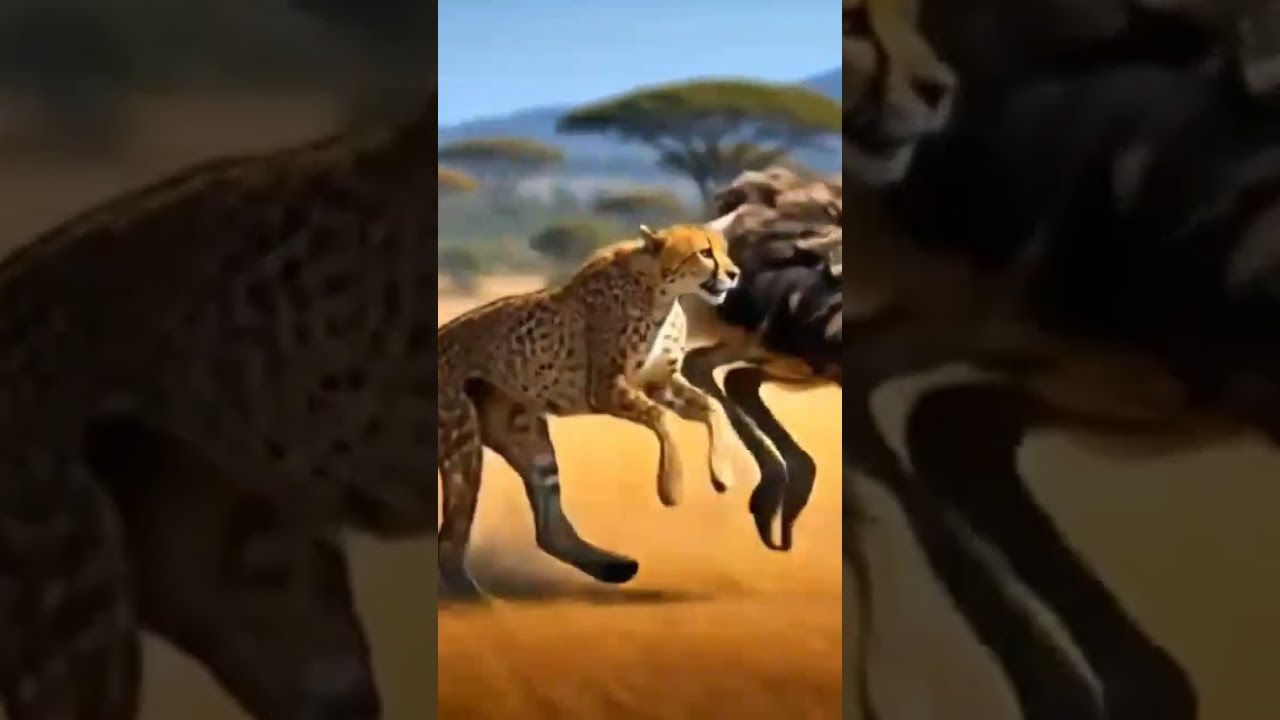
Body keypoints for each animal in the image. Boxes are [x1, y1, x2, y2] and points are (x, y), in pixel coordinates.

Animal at [436, 223, 753, 599]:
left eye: (723, 251)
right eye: (704, 253)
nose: (734, 273)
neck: (660, 292)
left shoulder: (660, 383)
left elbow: (711, 407)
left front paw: (722, 473)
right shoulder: (606, 388)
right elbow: (660, 418)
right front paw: (671, 486)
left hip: (525, 434)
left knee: (549, 529)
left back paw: (614, 568)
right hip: (462, 442)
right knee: (450, 537)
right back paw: (480, 600)